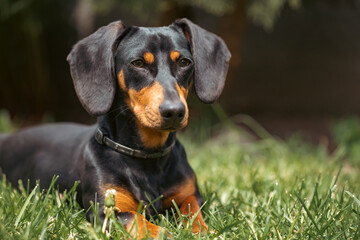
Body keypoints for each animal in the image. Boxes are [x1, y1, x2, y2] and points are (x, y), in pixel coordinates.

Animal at [0, 18, 231, 238]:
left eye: (184, 62)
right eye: (138, 63)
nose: (174, 111)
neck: (146, 158)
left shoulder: (190, 194)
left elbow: (192, 211)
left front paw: (204, 231)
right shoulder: (108, 210)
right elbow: (140, 222)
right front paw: (166, 234)